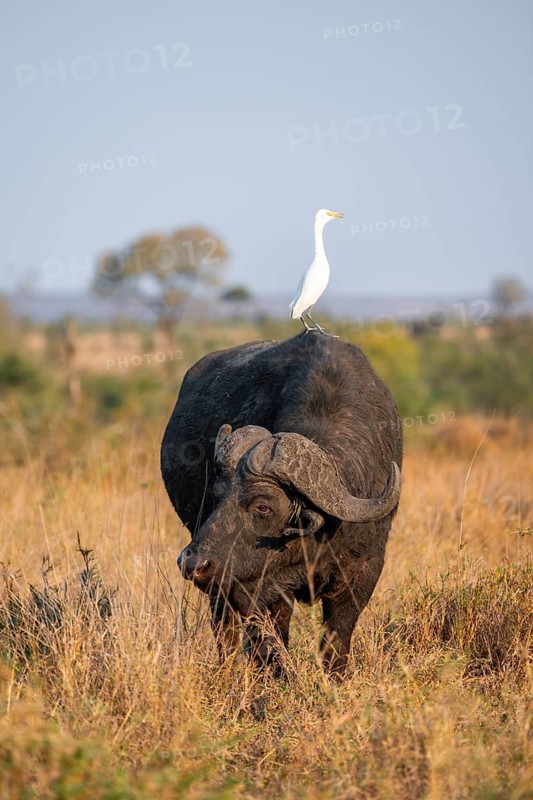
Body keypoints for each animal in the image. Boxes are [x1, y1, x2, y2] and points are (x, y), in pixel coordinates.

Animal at [161, 332, 403, 677]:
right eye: (216, 496)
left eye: (263, 507)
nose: (192, 562)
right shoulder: (261, 587)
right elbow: (270, 645)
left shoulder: (363, 571)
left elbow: (336, 641)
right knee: (226, 630)